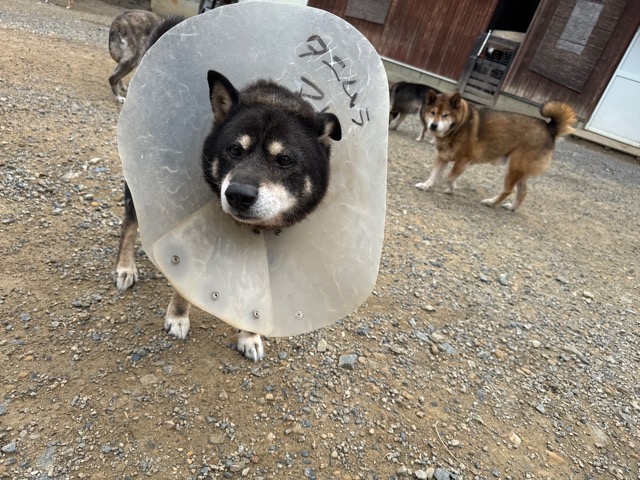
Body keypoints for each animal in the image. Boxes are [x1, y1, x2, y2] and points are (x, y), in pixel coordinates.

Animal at [115, 70, 342, 361]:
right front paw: (177, 317)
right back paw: (125, 268)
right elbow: (182, 281)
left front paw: (250, 336)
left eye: (284, 159)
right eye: (235, 149)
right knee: (130, 225)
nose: (238, 195)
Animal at [415, 90, 577, 211]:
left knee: (508, 190)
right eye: (432, 112)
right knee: (522, 192)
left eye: (445, 115)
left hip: (513, 167)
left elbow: (449, 177)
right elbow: (434, 174)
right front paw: (426, 185)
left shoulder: (463, 160)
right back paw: (511, 207)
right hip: (520, 170)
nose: (433, 125)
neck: (458, 126)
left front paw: (452, 188)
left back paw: (491, 202)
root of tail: (550, 128)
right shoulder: (442, 157)